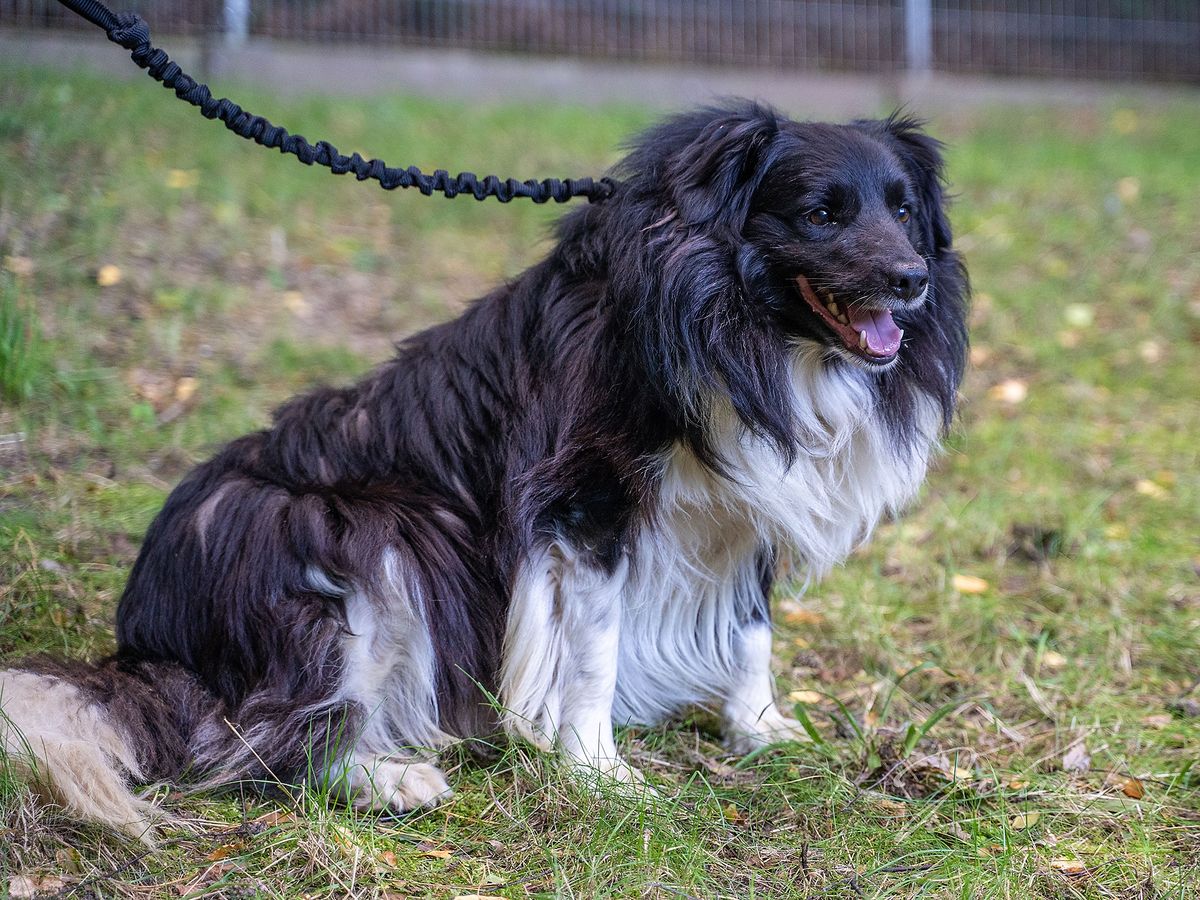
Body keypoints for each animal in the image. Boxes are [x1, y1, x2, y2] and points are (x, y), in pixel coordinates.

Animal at [0, 102, 964, 844]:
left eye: (904, 210)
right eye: (820, 214)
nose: (911, 280)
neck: (740, 326)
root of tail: (143, 644)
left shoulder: (748, 497)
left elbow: (755, 627)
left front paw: (761, 729)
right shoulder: (583, 501)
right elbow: (594, 649)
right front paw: (600, 772)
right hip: (351, 532)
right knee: (258, 737)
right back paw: (388, 777)